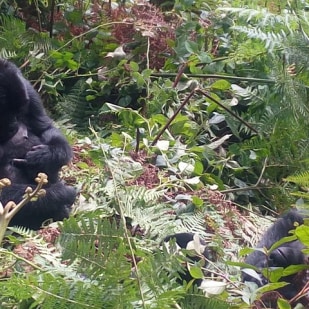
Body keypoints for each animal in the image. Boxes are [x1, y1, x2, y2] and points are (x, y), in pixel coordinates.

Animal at [0, 58, 76, 229]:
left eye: (18, 112)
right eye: (5, 113)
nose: (14, 126)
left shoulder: (25, 87)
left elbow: (45, 128)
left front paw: (46, 156)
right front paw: (62, 193)